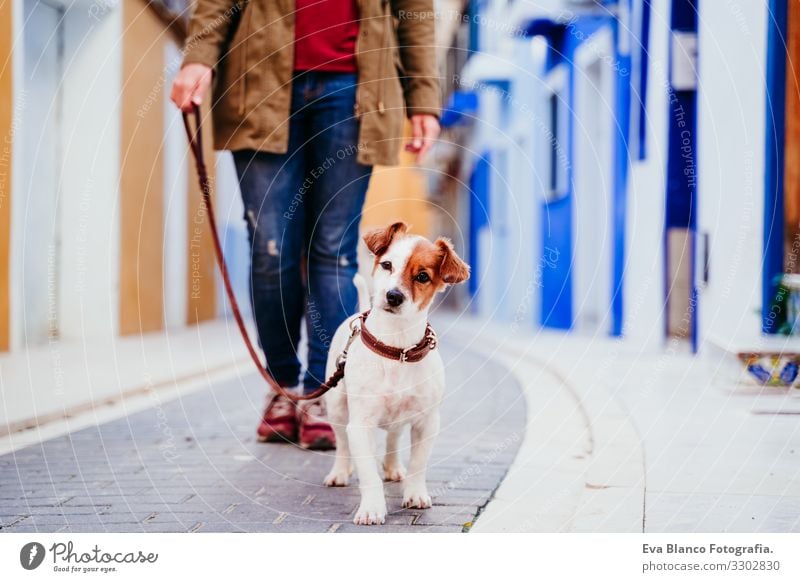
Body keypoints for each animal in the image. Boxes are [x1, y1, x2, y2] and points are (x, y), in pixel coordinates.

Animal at [324, 221, 468, 528]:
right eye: (387, 264)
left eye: (423, 276)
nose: (393, 296)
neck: (397, 348)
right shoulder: (361, 425)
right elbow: (368, 473)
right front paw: (372, 509)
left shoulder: (427, 422)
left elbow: (418, 464)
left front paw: (414, 493)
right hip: (338, 408)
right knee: (342, 445)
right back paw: (340, 472)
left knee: (392, 438)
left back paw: (392, 467)